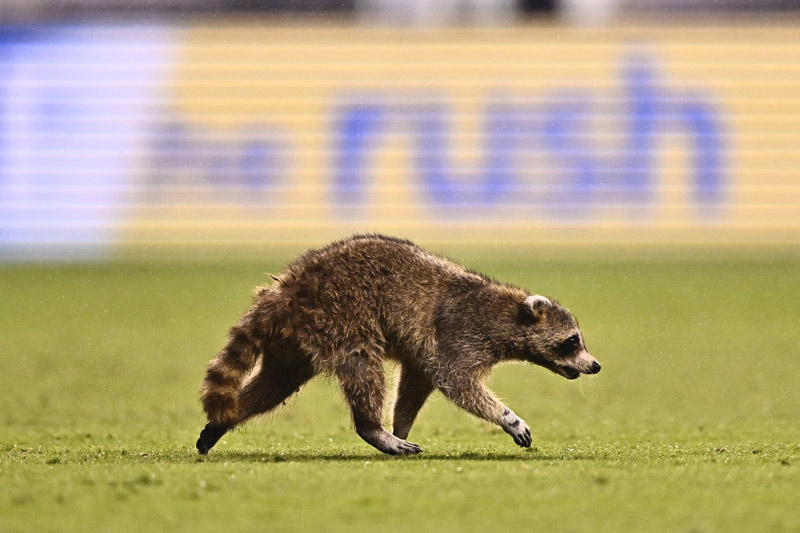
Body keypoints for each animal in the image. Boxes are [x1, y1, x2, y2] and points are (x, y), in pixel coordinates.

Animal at [195, 235, 600, 456]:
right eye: (571, 342)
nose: (595, 365)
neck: (508, 312)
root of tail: (290, 285)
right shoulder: (461, 335)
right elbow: (457, 384)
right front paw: (507, 417)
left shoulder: (425, 353)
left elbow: (416, 385)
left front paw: (400, 426)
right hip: (341, 314)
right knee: (363, 366)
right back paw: (371, 428)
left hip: (296, 338)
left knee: (275, 383)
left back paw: (226, 420)